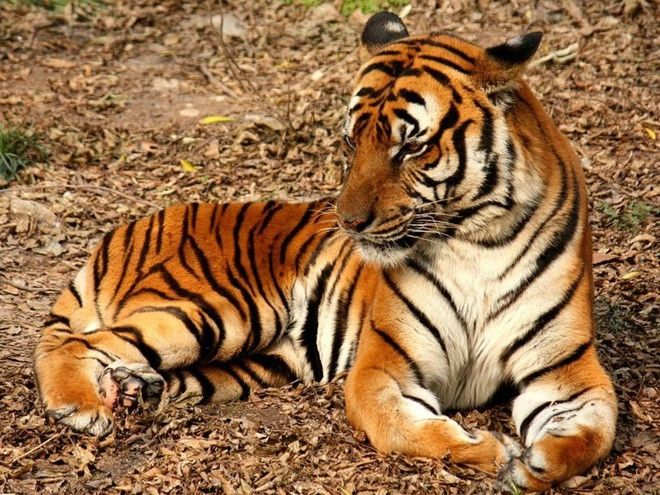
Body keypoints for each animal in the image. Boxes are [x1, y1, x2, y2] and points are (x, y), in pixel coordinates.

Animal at [33, 11, 617, 491]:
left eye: (411, 145)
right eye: (351, 141)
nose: (350, 223)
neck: (477, 240)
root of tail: (129, 227)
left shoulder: (566, 371)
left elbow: (596, 432)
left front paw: (537, 462)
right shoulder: (384, 366)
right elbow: (406, 429)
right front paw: (492, 452)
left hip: (258, 361)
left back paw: (134, 390)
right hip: (217, 310)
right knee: (77, 343)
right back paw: (80, 407)